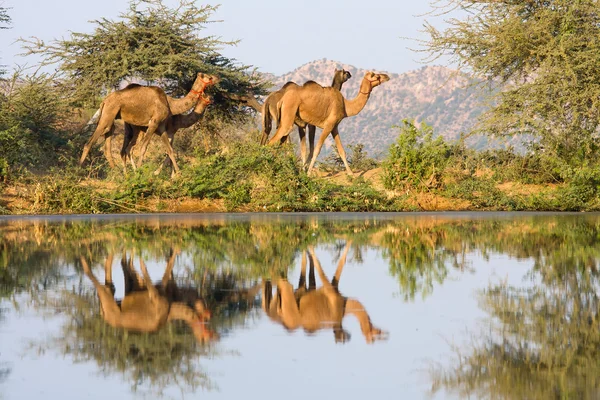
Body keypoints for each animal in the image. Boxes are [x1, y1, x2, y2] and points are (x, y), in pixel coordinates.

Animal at [79, 72, 218, 168]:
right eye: (209, 77)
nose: (218, 78)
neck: (171, 105)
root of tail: (104, 100)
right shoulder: (155, 123)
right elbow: (144, 147)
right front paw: (140, 172)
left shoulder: (161, 127)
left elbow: (170, 150)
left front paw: (179, 175)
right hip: (109, 112)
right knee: (89, 143)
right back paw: (80, 169)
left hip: (115, 118)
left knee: (110, 145)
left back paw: (119, 173)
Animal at [81, 248, 214, 342]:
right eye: (204, 338)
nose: (213, 335)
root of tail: (104, 316)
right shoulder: (156, 293)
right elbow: (150, 267)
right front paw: (177, 248)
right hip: (108, 300)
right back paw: (83, 259)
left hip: (112, 298)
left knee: (110, 277)